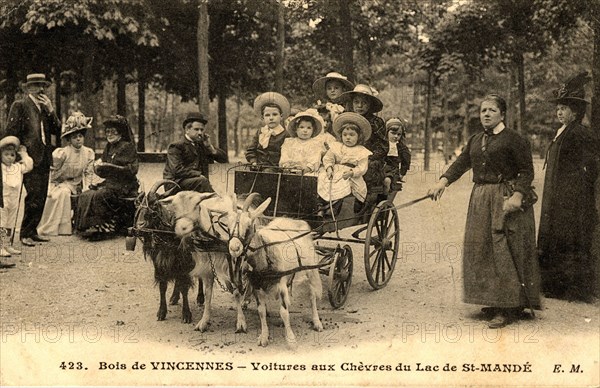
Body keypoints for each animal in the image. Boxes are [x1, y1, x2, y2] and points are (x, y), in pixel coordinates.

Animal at [158, 191, 252, 334]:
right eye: (174, 207)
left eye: (197, 206)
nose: (182, 228)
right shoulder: (208, 267)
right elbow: (208, 294)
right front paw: (204, 321)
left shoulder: (233, 263)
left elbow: (236, 291)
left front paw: (241, 322)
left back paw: (246, 300)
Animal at [227, 196, 324, 348]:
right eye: (227, 227)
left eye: (248, 226)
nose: (234, 248)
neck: (265, 253)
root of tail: (298, 221)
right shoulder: (257, 285)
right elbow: (261, 311)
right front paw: (264, 337)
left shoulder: (281, 283)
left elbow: (284, 312)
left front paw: (291, 340)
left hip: (310, 269)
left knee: (312, 295)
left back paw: (317, 322)